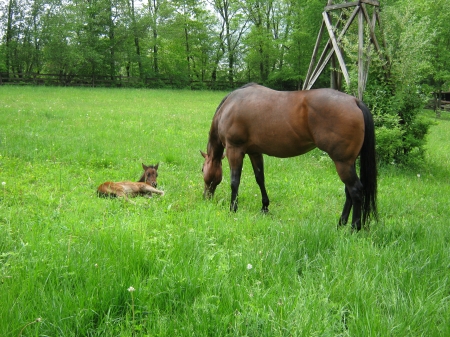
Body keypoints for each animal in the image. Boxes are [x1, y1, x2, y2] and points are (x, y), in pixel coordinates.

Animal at [201, 83, 376, 230]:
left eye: (202, 169)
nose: (205, 198)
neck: (230, 105)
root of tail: (354, 101)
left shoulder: (235, 150)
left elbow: (234, 181)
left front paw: (233, 209)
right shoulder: (255, 152)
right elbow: (260, 179)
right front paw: (265, 207)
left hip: (342, 162)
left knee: (355, 190)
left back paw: (354, 228)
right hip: (348, 163)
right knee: (349, 192)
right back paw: (340, 224)